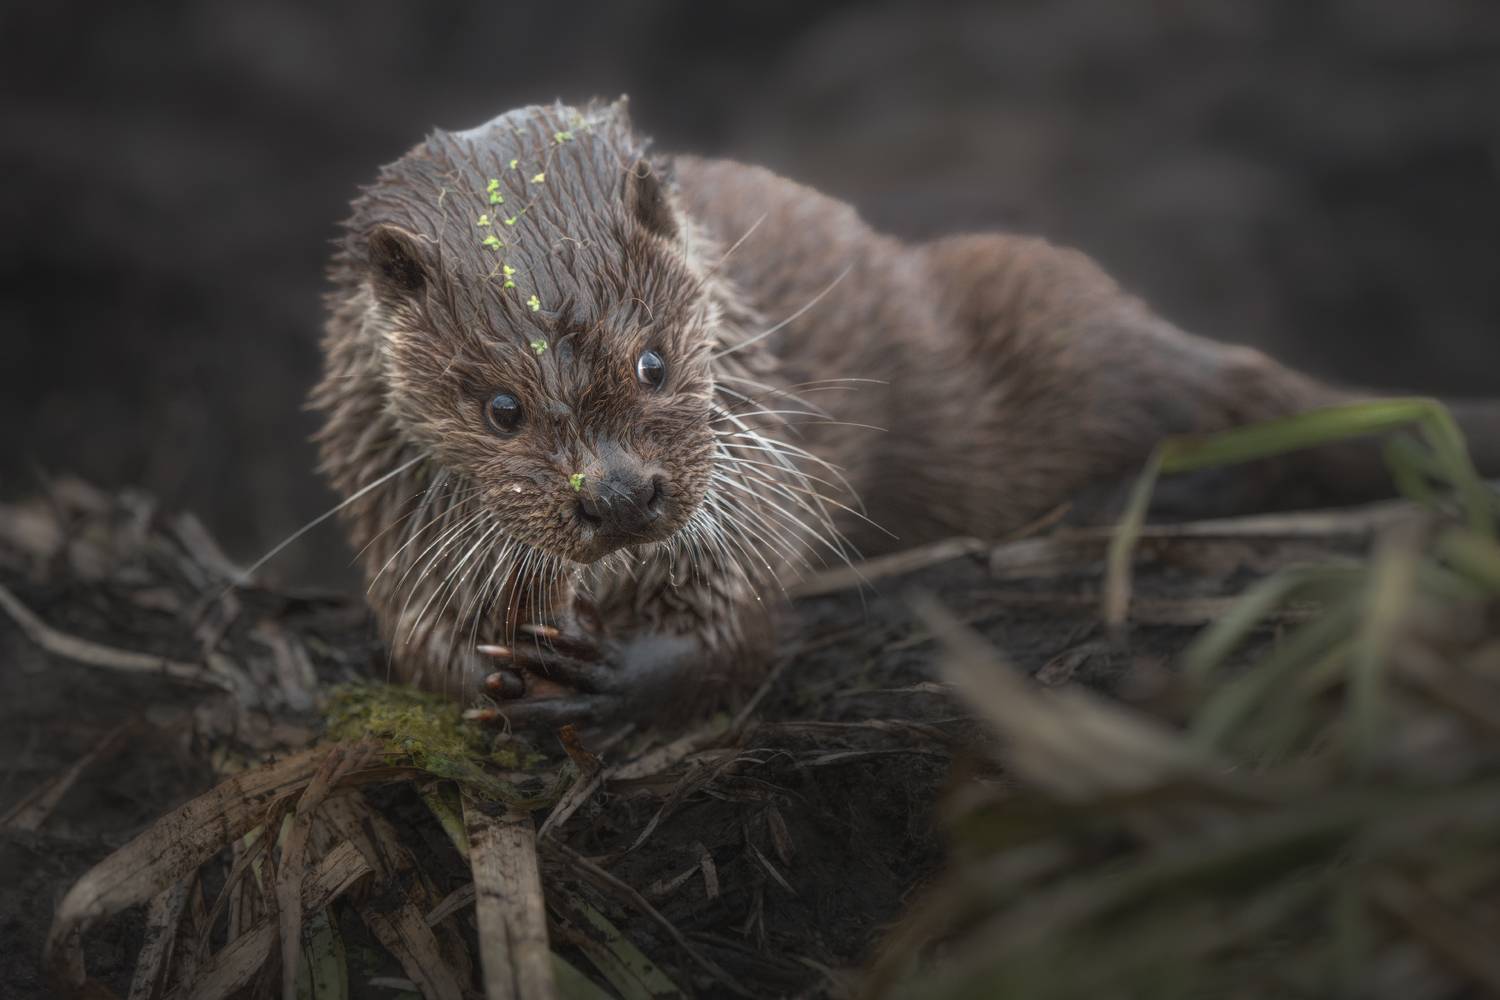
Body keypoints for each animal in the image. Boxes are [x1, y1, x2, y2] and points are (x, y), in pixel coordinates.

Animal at [311, 99, 1497, 730]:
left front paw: (617, 679)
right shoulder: (390, 504)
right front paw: (503, 672)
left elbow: (740, 623)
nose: (619, 494)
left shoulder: (763, 455)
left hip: (1038, 336)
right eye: (501, 406)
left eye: (653, 360)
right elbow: (418, 643)